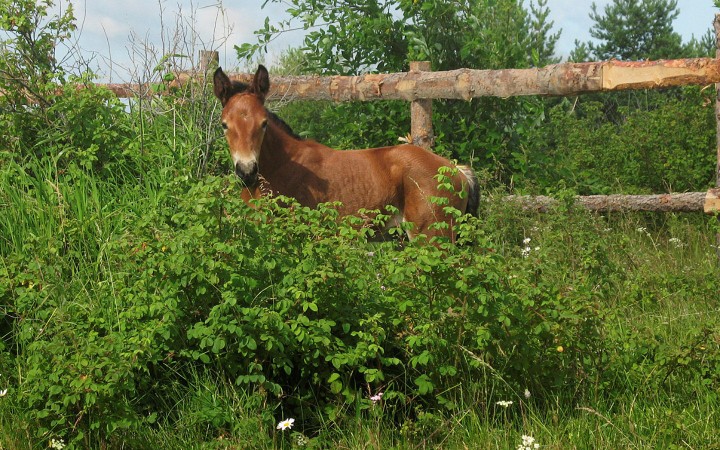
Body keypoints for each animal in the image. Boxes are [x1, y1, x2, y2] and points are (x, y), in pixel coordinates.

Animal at [214, 64, 478, 241]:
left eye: (264, 123)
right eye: (224, 125)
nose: (246, 172)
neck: (280, 169)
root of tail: (458, 171)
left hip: (433, 236)